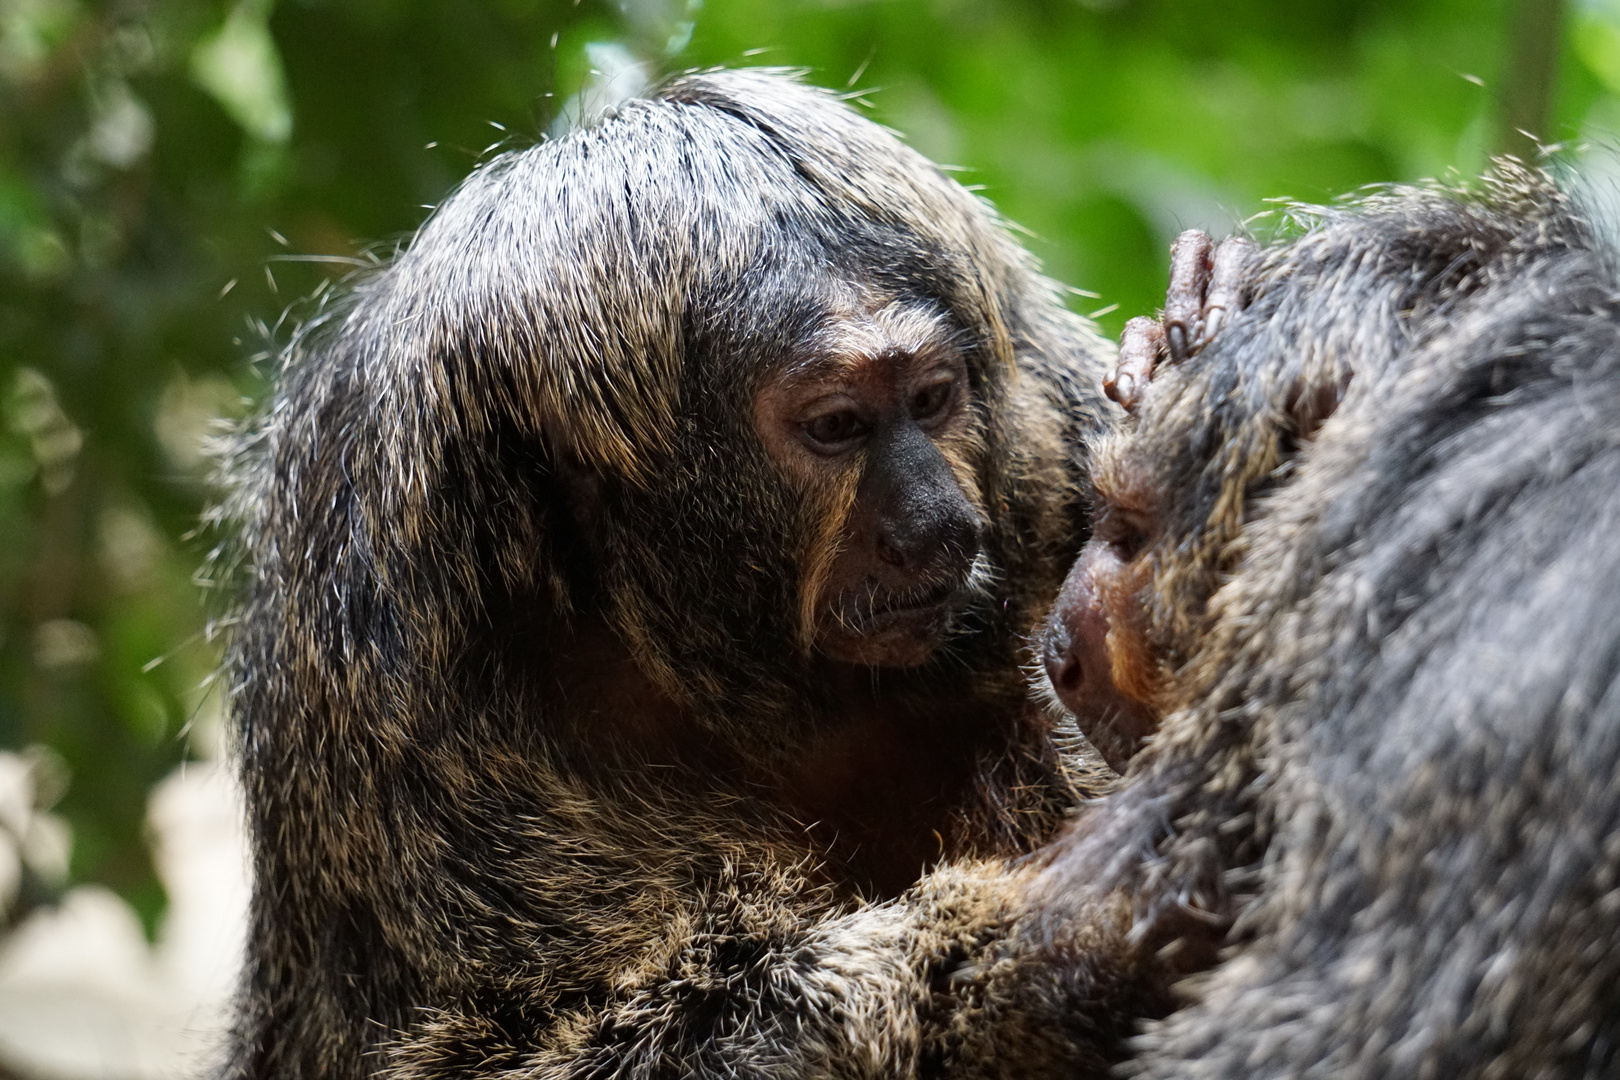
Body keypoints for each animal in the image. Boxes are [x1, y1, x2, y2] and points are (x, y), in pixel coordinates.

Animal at [218, 69, 1166, 1080]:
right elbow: (498, 1045)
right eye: (837, 427)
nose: (940, 528)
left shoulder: (1045, 435)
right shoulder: (386, 668)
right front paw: (1028, 948)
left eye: (932, 399)